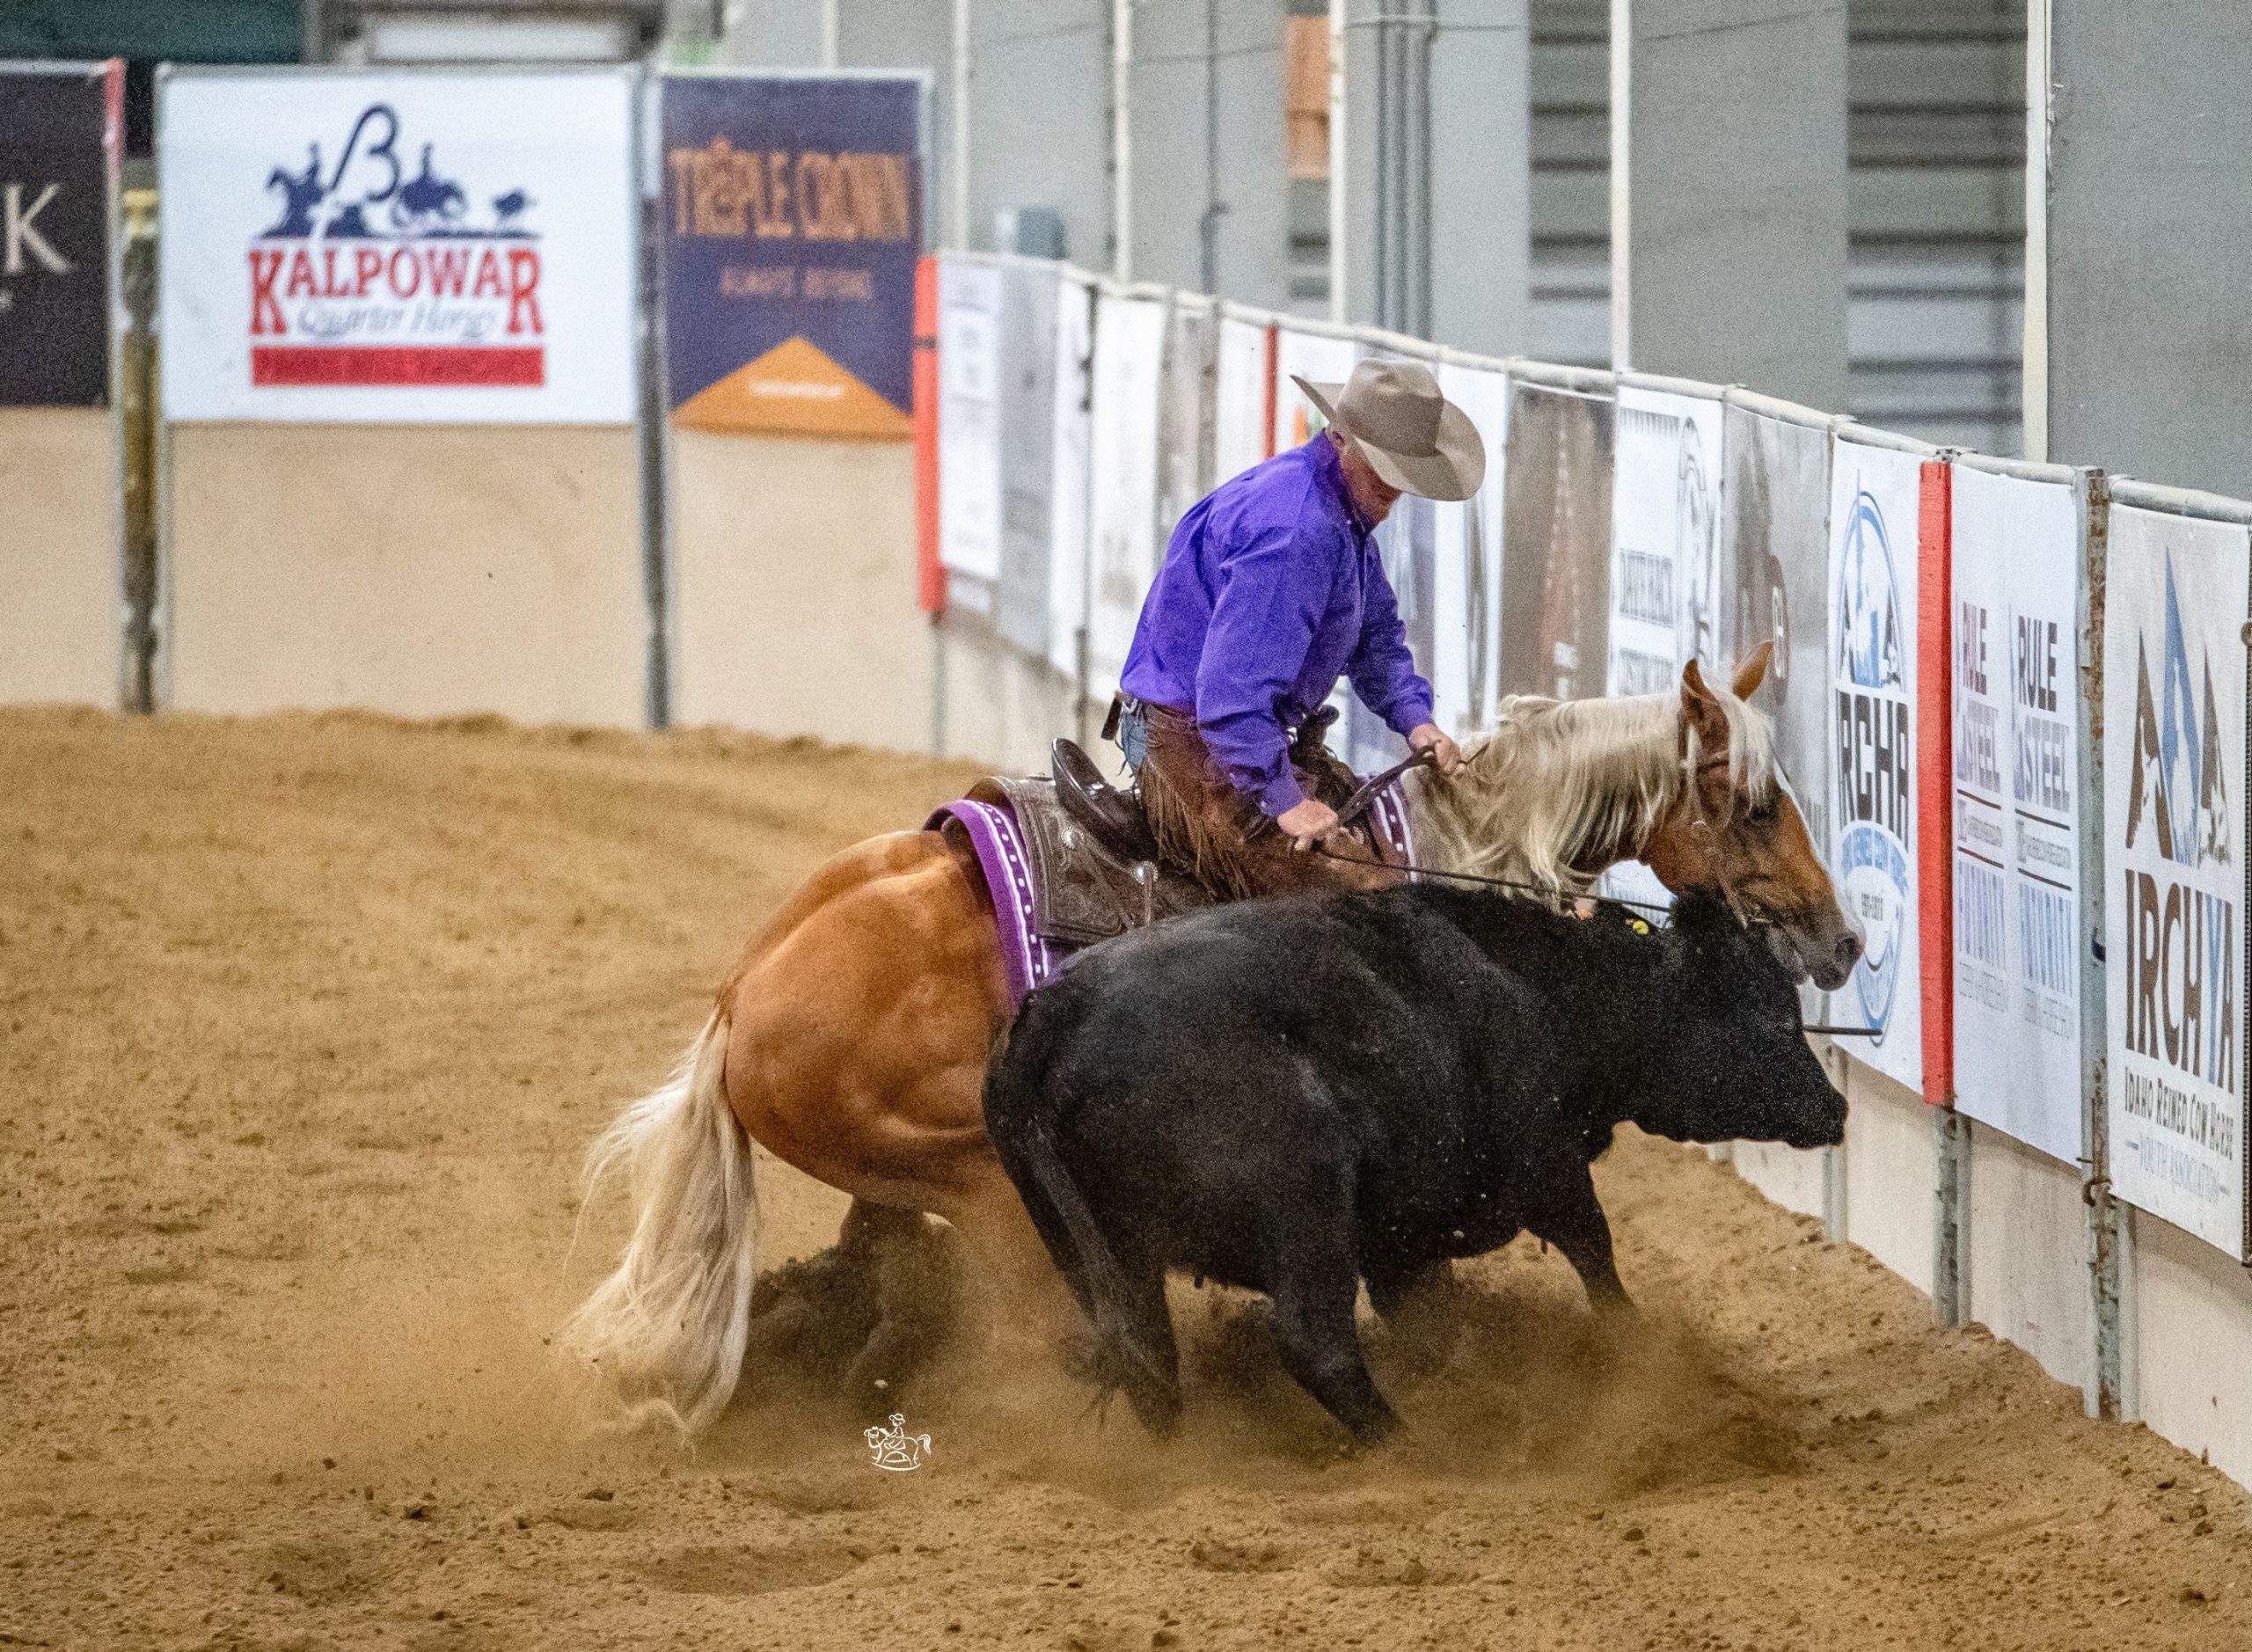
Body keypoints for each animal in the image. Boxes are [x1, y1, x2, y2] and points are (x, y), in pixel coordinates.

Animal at [982, 883, 1846, 1445]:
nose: (1835, 1108)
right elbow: (1593, 1248)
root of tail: (1054, 1017)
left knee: (1149, 1361)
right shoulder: (1546, 1167)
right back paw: (1405, 1445)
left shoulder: (1400, 1240)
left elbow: (1431, 1326)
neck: (1538, 990)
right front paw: (1632, 1343)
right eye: (1774, 1015)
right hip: (1303, 1208)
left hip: (1096, 1253)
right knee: (1314, 1341)